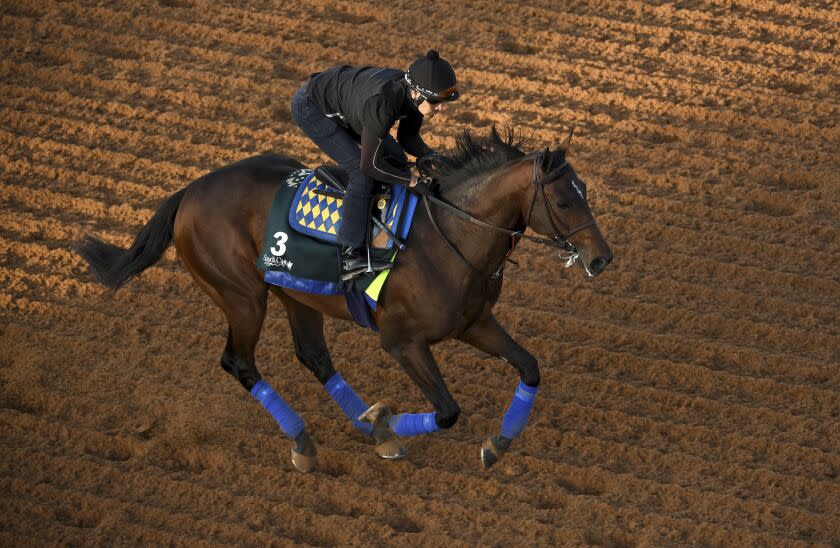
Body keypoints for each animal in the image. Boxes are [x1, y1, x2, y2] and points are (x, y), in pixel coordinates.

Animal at [77, 126, 612, 474]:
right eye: (565, 200)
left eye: (586, 191)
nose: (601, 258)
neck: (449, 237)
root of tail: (188, 191)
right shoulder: (402, 342)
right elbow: (447, 411)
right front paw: (383, 424)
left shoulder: (475, 323)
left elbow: (530, 368)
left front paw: (496, 444)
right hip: (242, 295)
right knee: (239, 362)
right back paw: (304, 441)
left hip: (295, 294)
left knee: (313, 356)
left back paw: (347, 425)